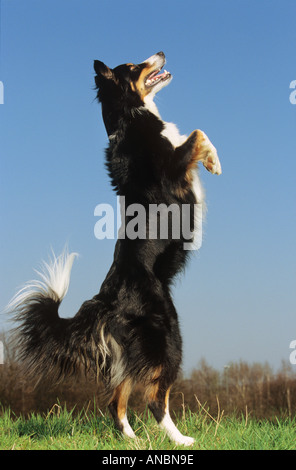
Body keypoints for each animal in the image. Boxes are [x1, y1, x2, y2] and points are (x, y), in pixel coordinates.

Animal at [8, 53, 222, 446]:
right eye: (135, 66)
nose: (161, 53)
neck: (131, 116)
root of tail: (105, 301)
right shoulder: (173, 166)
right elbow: (197, 134)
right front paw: (215, 161)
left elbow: (195, 134)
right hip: (167, 337)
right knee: (154, 399)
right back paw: (181, 440)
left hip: (129, 352)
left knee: (116, 401)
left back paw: (132, 439)